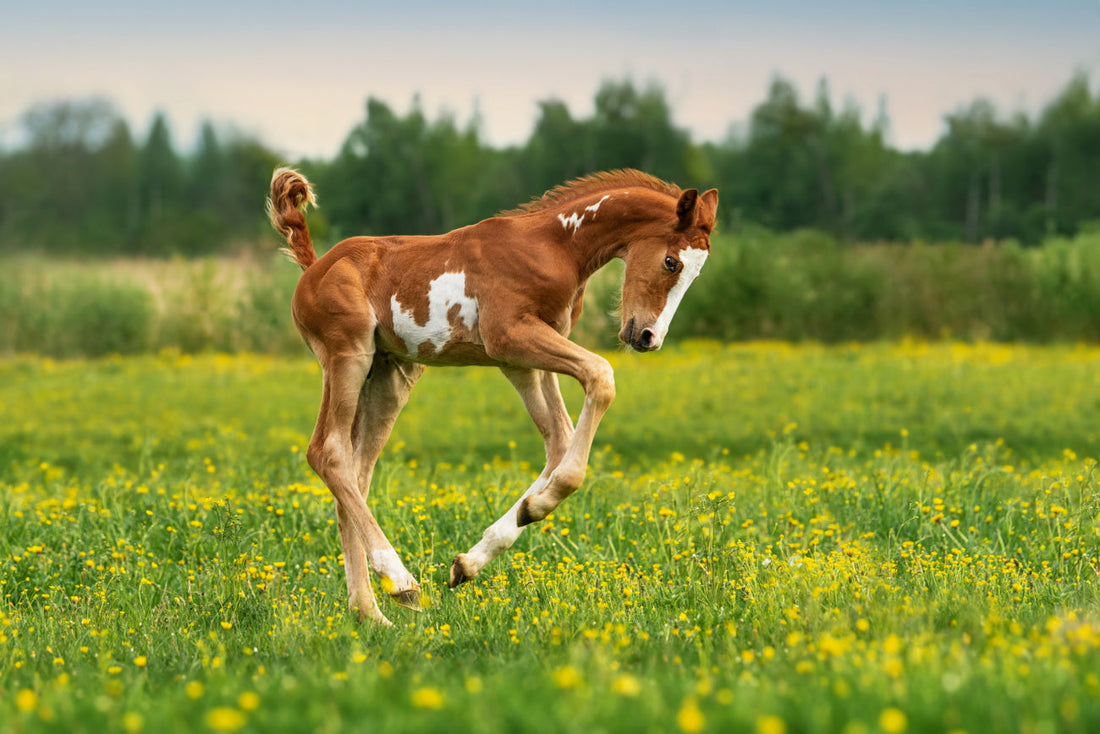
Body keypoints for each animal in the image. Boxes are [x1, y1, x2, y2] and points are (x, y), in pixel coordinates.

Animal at [267, 167, 718, 625]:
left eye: (697, 274)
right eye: (671, 261)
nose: (648, 337)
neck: (555, 246)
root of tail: (313, 268)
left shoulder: (523, 360)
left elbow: (559, 439)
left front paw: (478, 554)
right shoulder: (510, 337)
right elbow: (600, 377)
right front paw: (534, 507)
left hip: (391, 376)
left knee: (356, 474)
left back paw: (372, 612)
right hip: (347, 357)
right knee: (328, 452)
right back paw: (400, 580)